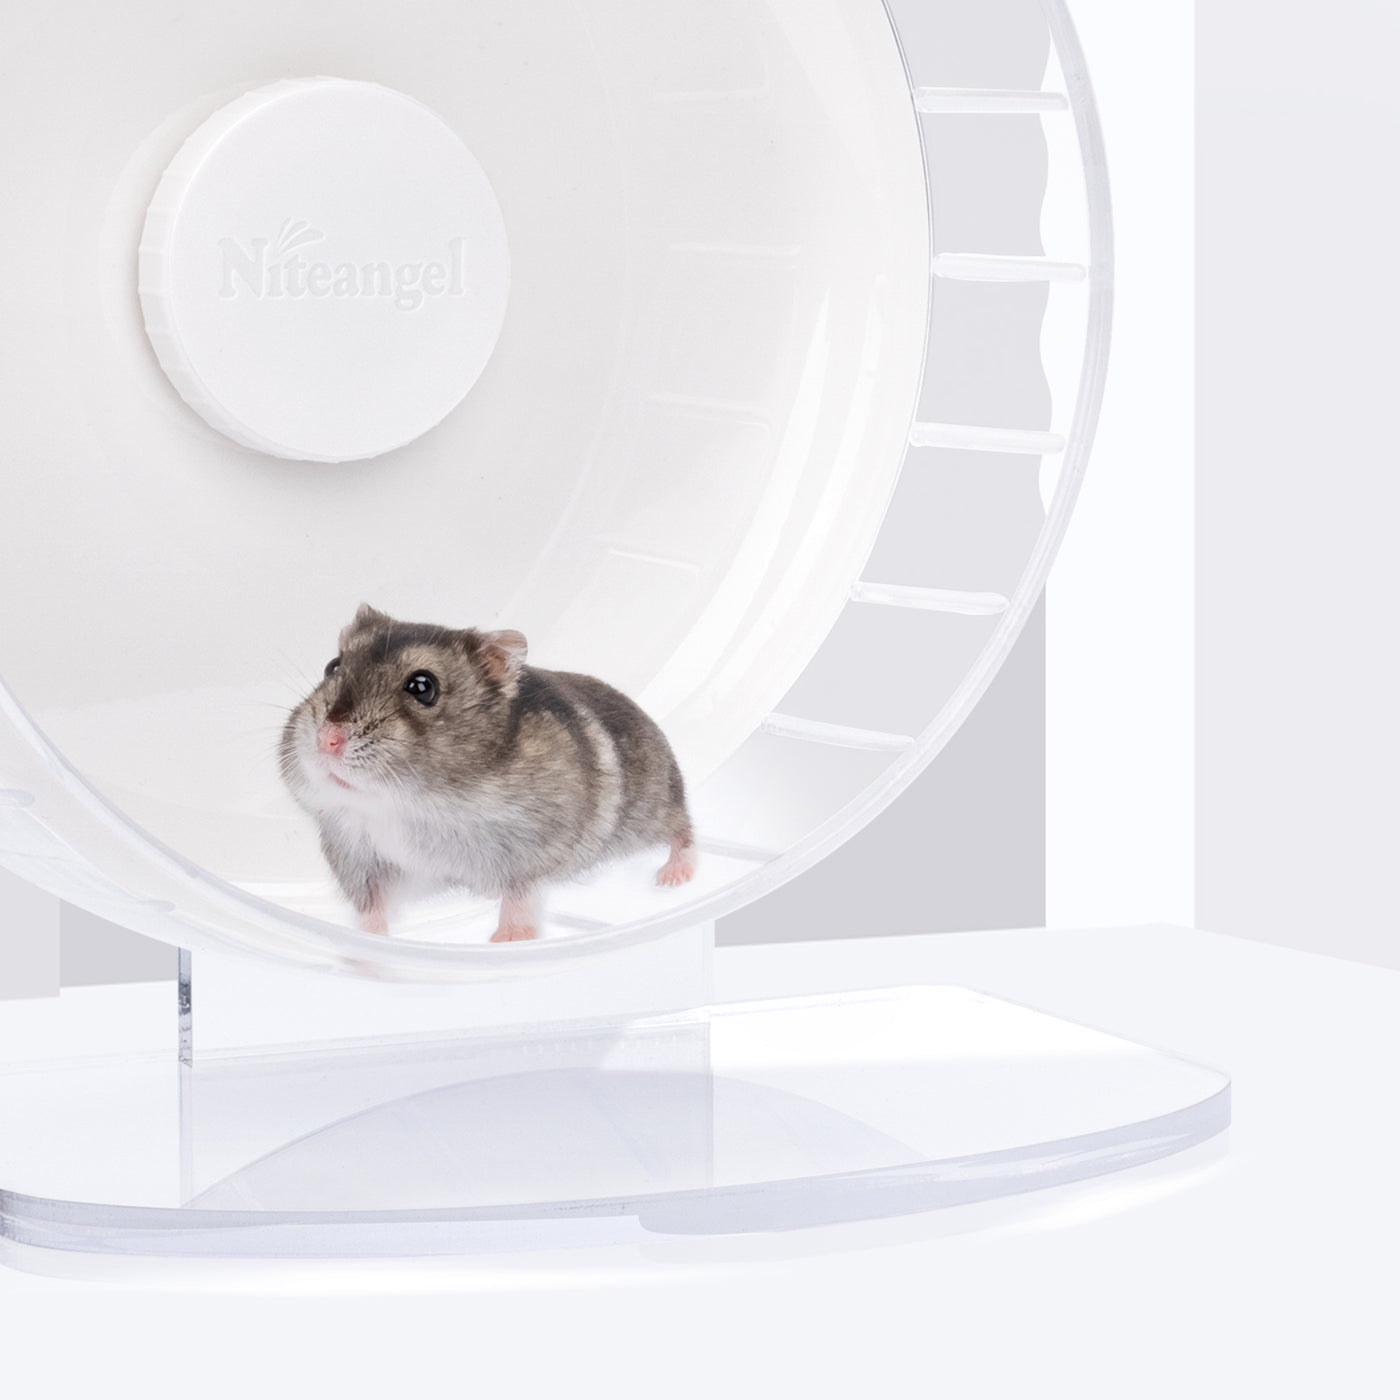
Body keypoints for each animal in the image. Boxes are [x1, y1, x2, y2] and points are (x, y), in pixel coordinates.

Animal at [279, 604, 697, 942]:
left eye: (422, 686)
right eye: (333, 666)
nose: (327, 740)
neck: (412, 802)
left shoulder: (532, 847)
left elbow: (519, 893)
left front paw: (508, 940)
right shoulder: (356, 855)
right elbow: (372, 907)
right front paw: (366, 949)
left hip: (654, 808)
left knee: (683, 830)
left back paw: (674, 877)